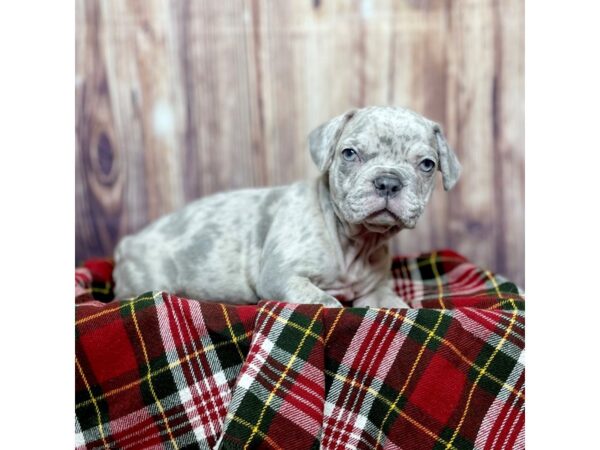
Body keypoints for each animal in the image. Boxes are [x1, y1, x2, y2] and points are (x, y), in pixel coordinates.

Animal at [113, 107, 460, 308]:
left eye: (427, 164)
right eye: (349, 154)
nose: (388, 181)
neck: (353, 240)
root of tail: (126, 243)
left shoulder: (374, 291)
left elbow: (397, 309)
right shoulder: (283, 277)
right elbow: (326, 302)